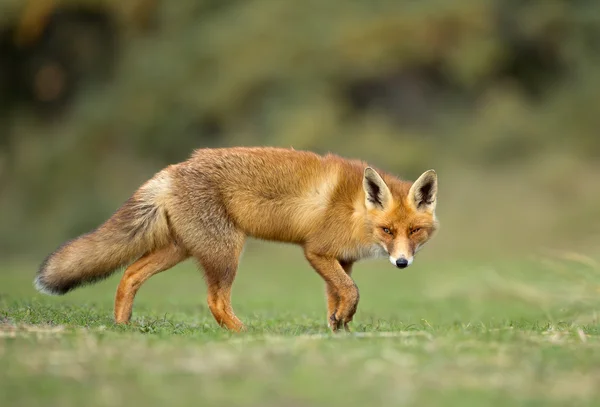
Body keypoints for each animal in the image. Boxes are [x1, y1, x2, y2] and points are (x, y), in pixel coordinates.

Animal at [35, 148, 438, 334]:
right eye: (388, 231)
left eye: (414, 232)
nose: (402, 263)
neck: (356, 209)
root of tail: (174, 169)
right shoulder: (317, 252)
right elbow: (351, 291)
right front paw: (341, 324)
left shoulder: (342, 261)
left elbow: (338, 298)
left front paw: (340, 328)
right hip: (226, 253)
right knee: (214, 301)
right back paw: (243, 333)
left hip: (181, 249)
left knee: (130, 274)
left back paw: (122, 326)